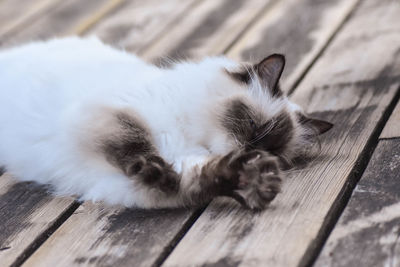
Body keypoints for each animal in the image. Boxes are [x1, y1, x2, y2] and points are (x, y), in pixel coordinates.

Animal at [0, 36, 332, 210]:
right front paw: (156, 170)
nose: (253, 151)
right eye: (253, 126)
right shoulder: (113, 117)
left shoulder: (120, 184)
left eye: (273, 153)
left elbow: (188, 183)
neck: (186, 137)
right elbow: (137, 149)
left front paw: (251, 181)